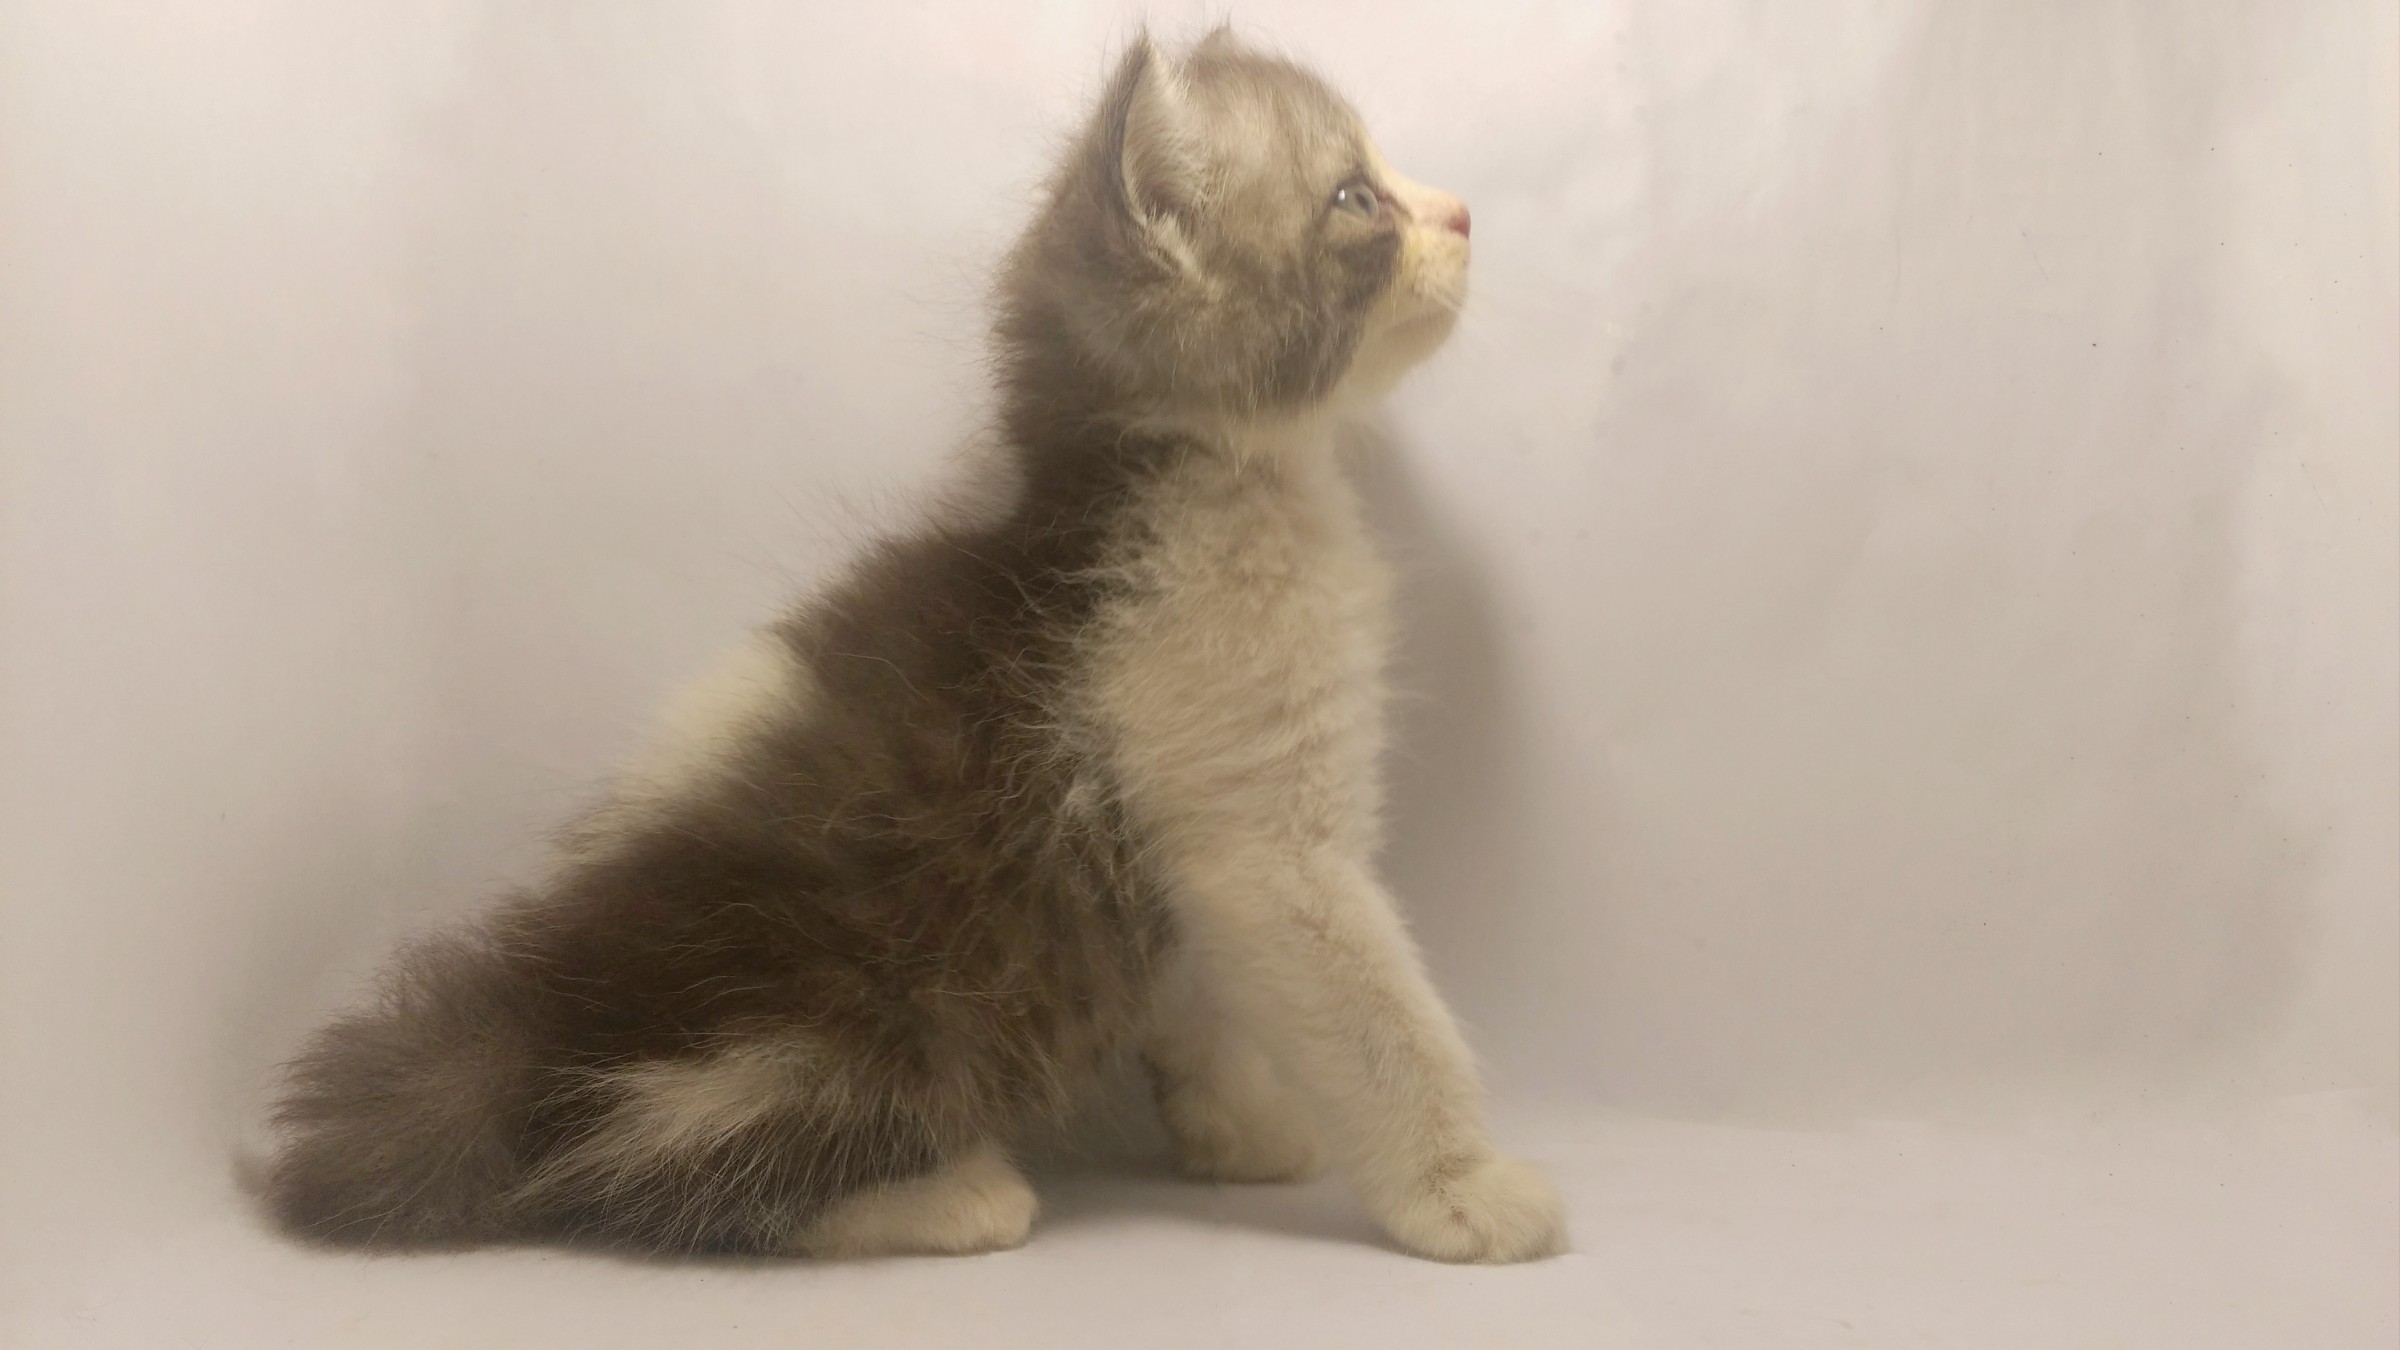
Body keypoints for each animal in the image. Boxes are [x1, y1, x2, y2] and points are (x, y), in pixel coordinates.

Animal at [265, 27, 1565, 1265]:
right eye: (1355, 197)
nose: (1461, 212)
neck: (1184, 482)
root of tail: (528, 1027)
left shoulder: (1178, 829)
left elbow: (1201, 991)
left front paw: (1236, 1124)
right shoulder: (1260, 834)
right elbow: (1375, 1014)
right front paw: (1462, 1188)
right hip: (858, 1015)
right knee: (645, 1180)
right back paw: (946, 1196)